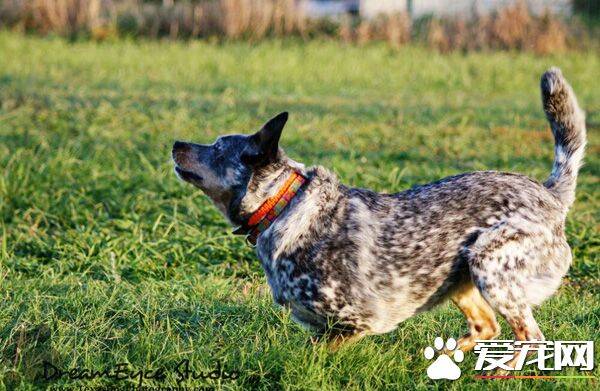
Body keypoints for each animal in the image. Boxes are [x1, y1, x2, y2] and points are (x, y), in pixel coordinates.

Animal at [172, 69, 584, 356]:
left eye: (217, 146)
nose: (175, 143)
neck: (284, 206)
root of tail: (550, 194)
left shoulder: (359, 318)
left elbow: (316, 353)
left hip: (490, 261)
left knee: (531, 337)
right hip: (461, 276)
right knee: (487, 328)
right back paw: (443, 357)